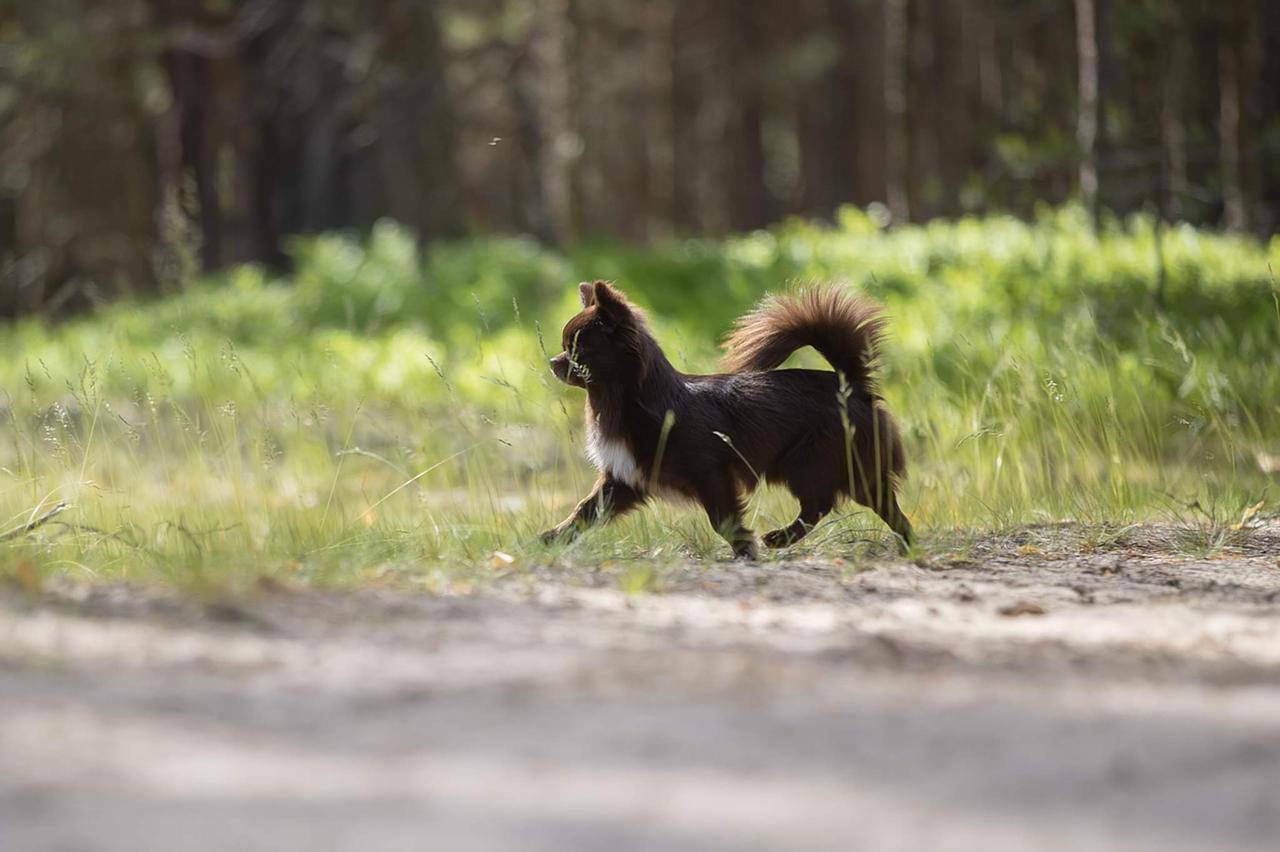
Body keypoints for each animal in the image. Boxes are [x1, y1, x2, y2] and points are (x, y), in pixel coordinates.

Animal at [540, 278, 911, 557]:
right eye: (565, 346)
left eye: (576, 348)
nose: (553, 362)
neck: (626, 400)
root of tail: (850, 385)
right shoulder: (624, 479)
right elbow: (587, 510)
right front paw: (554, 537)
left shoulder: (712, 474)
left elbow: (723, 520)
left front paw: (745, 550)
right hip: (828, 466)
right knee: (865, 506)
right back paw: (906, 545)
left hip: (811, 461)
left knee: (826, 503)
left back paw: (783, 538)